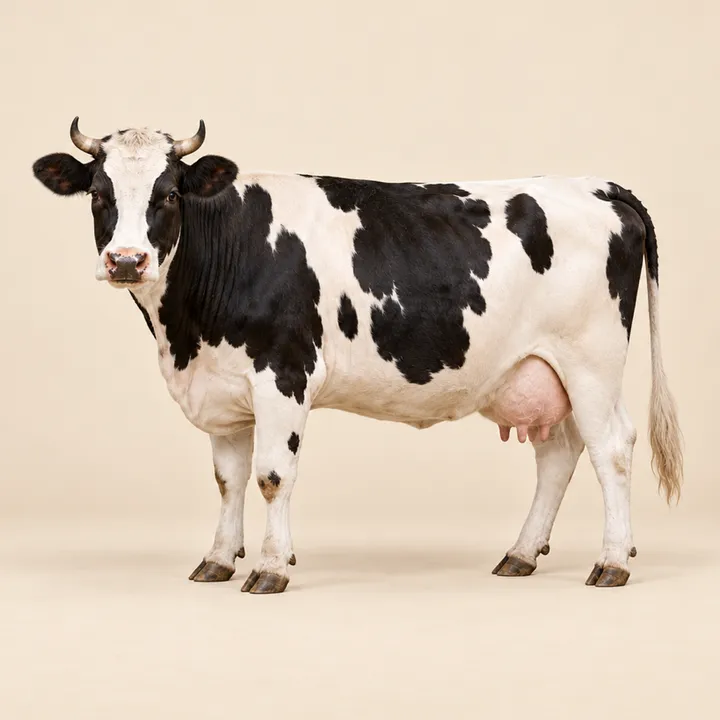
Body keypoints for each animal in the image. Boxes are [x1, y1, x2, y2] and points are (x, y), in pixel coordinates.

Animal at [32, 118, 683, 593]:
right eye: (98, 195)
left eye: (168, 195)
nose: (126, 260)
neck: (186, 335)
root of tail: (595, 184)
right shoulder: (222, 386)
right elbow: (227, 480)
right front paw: (218, 559)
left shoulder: (284, 373)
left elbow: (272, 475)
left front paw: (270, 567)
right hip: (537, 369)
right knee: (558, 453)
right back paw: (521, 554)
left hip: (592, 361)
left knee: (611, 448)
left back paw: (612, 562)